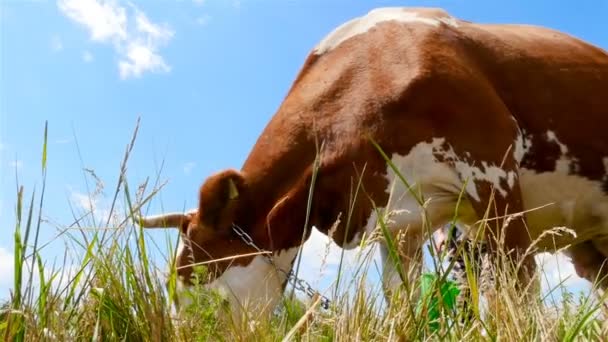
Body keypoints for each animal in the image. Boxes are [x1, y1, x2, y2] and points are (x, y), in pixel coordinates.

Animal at [139, 6, 608, 320]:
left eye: (200, 284)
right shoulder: (399, 222)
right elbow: (402, 304)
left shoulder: (494, 174)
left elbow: (518, 296)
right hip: (589, 245)